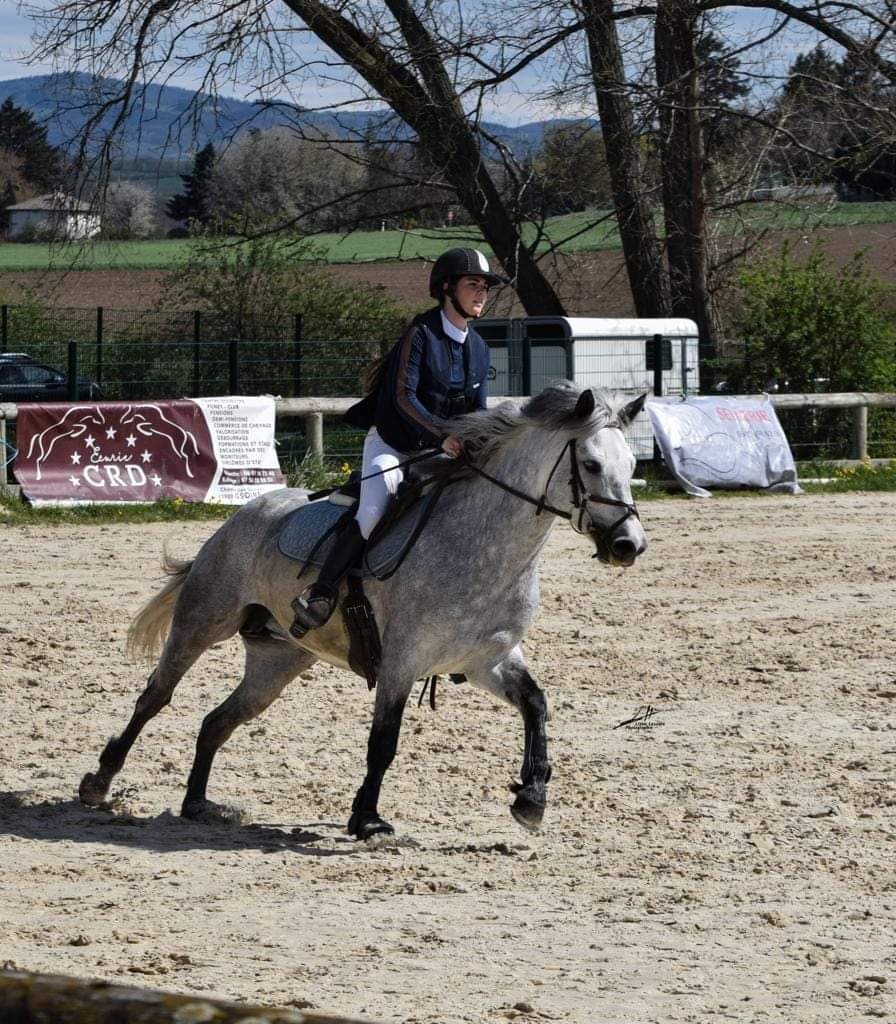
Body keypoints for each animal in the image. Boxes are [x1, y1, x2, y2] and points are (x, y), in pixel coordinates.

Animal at [80, 385, 647, 839]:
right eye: (591, 465)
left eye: (633, 468)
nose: (628, 546)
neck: (486, 548)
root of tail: (247, 511)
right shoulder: (402, 662)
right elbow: (384, 743)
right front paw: (367, 819)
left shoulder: (487, 660)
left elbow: (536, 705)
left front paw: (531, 799)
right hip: (203, 623)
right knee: (155, 697)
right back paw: (99, 782)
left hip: (278, 661)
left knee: (217, 721)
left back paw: (198, 804)